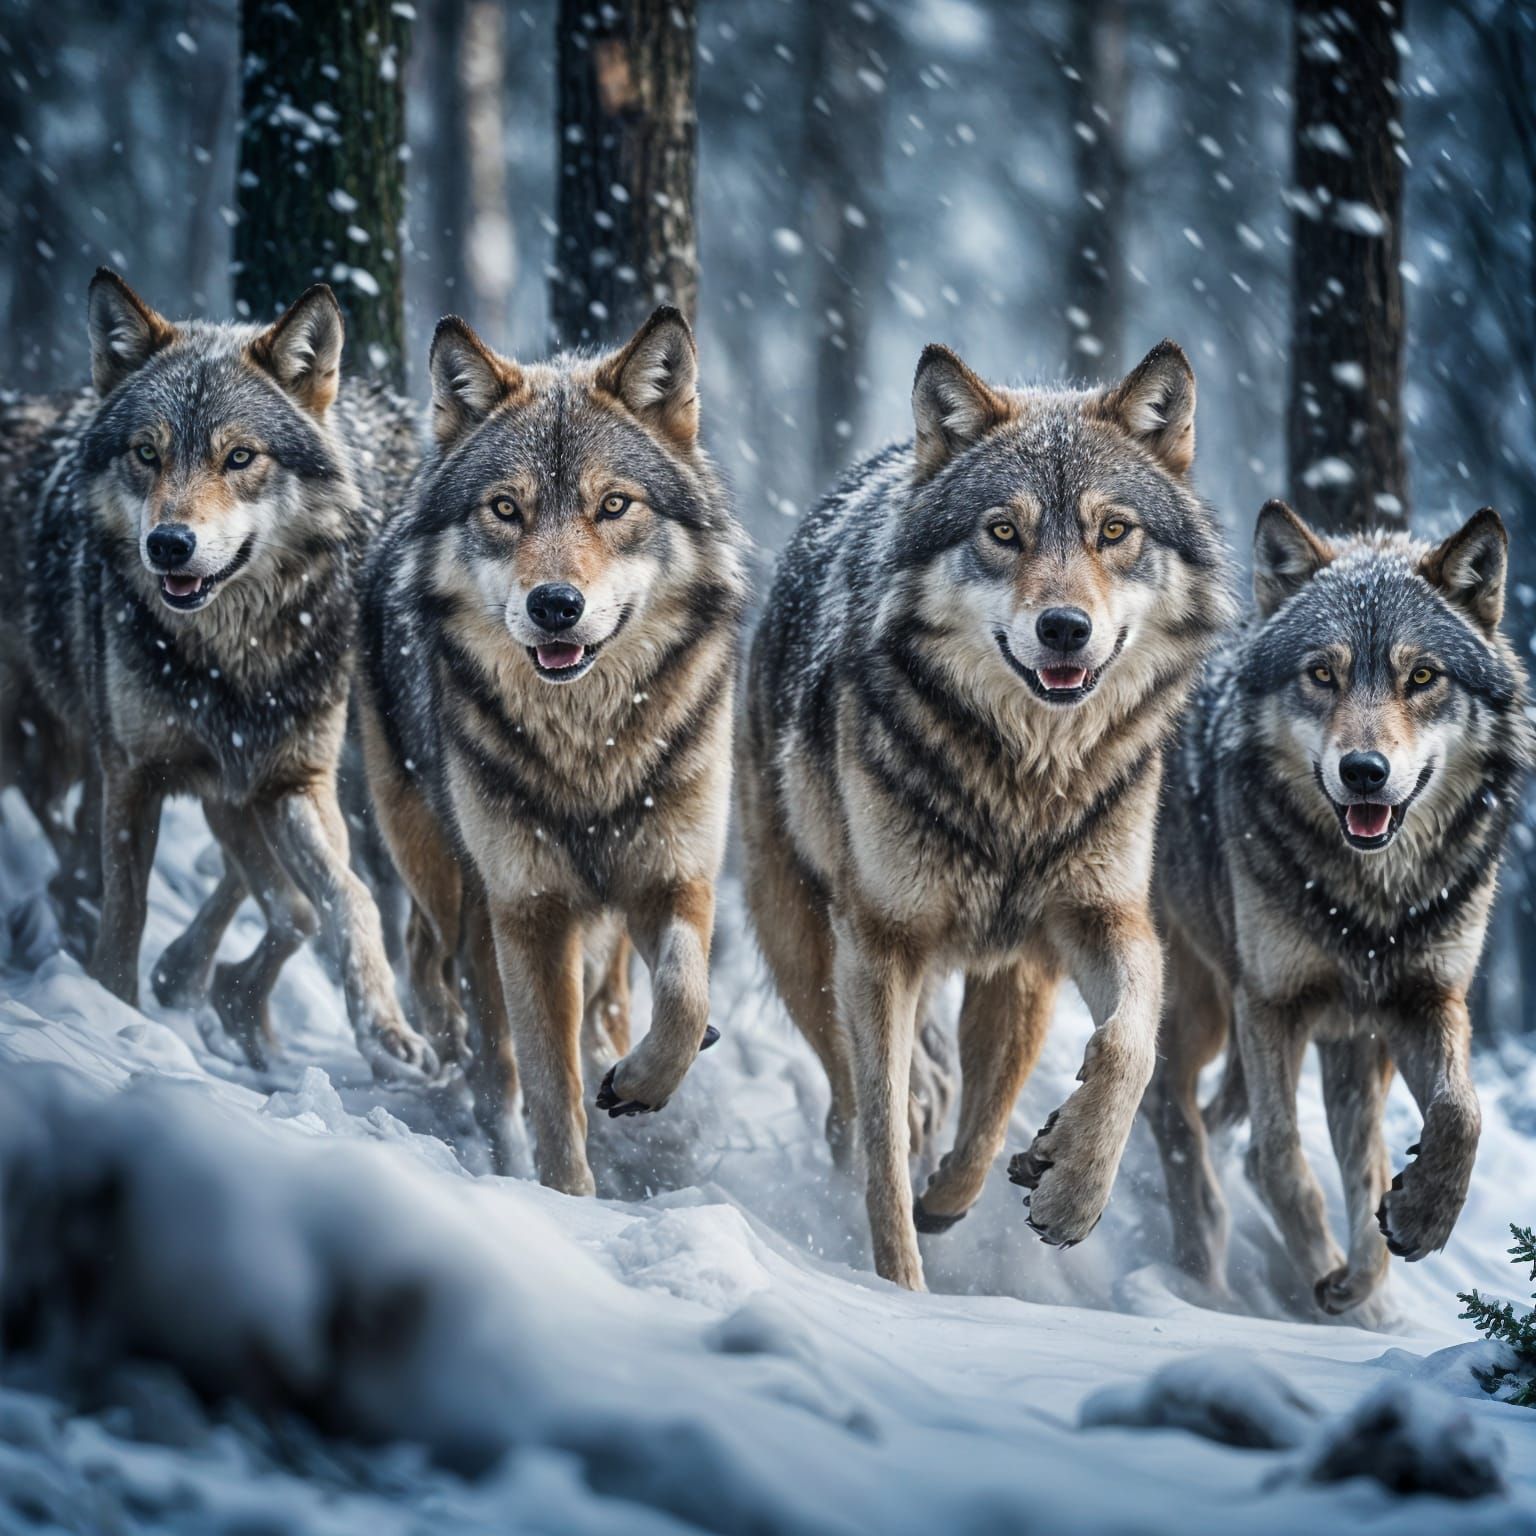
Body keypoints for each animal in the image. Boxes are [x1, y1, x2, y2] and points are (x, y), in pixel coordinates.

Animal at [0, 269, 435, 1081]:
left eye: (240, 457)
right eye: (147, 453)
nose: (169, 545)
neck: (233, 658)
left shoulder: (288, 778)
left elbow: (339, 899)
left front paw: (385, 1030)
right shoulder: (138, 773)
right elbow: (128, 910)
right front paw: (117, 1020)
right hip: (48, 744)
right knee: (69, 839)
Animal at [358, 306, 746, 1190]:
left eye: (614, 505)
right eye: (506, 508)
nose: (556, 605)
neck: (588, 752)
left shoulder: (676, 875)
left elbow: (686, 996)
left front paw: (640, 1083)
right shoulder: (530, 911)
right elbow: (547, 1088)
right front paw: (566, 1197)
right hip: (444, 870)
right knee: (448, 984)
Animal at [738, 340, 1234, 1289]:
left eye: (1113, 531)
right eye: (1003, 533)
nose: (1065, 628)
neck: (1023, 784)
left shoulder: (1083, 927)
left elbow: (1119, 1052)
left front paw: (1063, 1185)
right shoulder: (881, 941)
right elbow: (884, 1145)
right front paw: (899, 1283)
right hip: (804, 939)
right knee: (854, 1097)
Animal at [1146, 502, 1532, 1314]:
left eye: (1422, 676)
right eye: (1322, 673)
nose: (1364, 772)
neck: (1371, 902)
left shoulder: (1423, 1000)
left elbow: (1459, 1116)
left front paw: (1407, 1228)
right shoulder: (1271, 1005)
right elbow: (1280, 1160)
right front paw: (1326, 1270)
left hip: (1344, 1047)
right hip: (1201, 1003)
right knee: (1174, 1109)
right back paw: (1204, 1273)